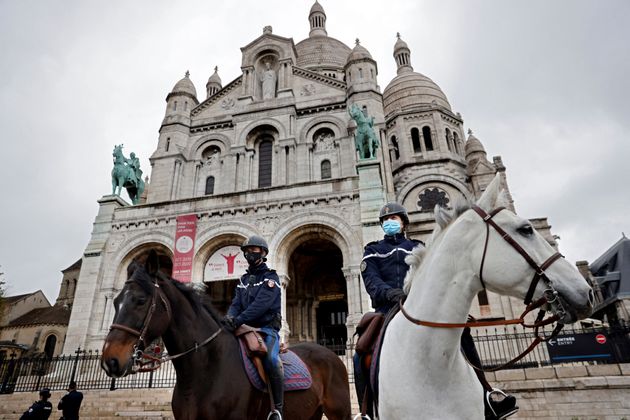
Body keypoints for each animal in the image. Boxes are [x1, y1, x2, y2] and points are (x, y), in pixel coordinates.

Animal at [101, 253, 354, 420]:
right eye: (116, 301)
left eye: (141, 301)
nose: (110, 360)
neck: (203, 371)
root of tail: (330, 352)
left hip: (339, 412)